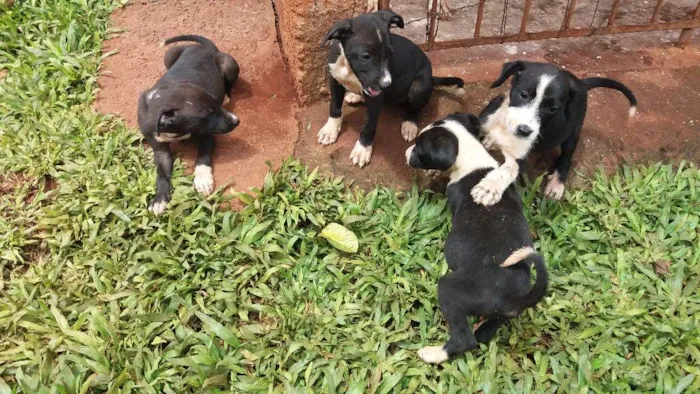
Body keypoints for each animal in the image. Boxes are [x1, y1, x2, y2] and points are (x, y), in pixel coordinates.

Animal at [138, 34, 242, 215]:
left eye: (216, 103)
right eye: (207, 114)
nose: (237, 121)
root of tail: (206, 48)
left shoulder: (207, 137)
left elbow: (202, 158)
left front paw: (203, 180)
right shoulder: (159, 149)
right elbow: (161, 175)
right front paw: (159, 200)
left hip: (229, 65)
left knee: (230, 83)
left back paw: (228, 95)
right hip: (169, 55)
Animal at [318, 10, 464, 168]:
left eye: (390, 53)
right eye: (365, 56)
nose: (387, 85)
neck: (349, 68)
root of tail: (431, 78)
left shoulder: (376, 98)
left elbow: (369, 126)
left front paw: (362, 149)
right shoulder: (335, 80)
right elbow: (334, 107)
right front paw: (330, 130)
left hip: (418, 88)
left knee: (415, 108)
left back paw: (409, 124)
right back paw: (356, 96)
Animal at [468, 60, 636, 206]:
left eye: (553, 109)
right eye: (523, 95)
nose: (524, 131)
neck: (505, 126)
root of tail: (581, 83)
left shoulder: (521, 156)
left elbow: (508, 170)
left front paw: (489, 188)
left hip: (572, 132)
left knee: (567, 157)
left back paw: (556, 183)